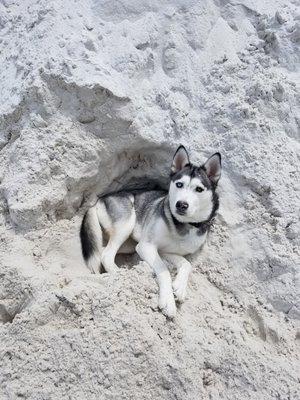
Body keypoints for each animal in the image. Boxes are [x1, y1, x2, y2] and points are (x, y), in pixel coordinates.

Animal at [81, 145, 221, 318]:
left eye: (199, 189)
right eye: (179, 184)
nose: (181, 204)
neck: (181, 225)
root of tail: (99, 199)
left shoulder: (165, 251)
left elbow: (187, 263)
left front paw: (180, 288)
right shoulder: (146, 247)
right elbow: (164, 270)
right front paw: (168, 302)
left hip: (129, 243)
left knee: (101, 251)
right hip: (127, 224)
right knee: (106, 255)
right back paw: (120, 275)